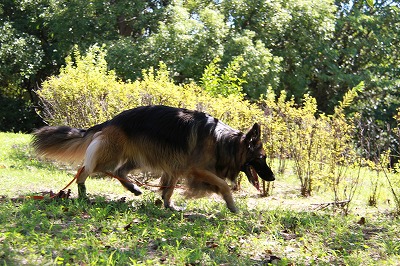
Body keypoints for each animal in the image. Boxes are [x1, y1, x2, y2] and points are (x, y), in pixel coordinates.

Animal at [32, 105, 276, 213]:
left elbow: (169, 189)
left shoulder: (177, 167)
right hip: (110, 157)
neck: (223, 141)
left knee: (120, 171)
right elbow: (223, 185)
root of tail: (113, 120)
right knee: (85, 170)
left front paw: (168, 206)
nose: (272, 178)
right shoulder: (196, 170)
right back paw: (83, 193)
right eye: (262, 158)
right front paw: (232, 206)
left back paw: (133, 188)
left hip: (138, 158)